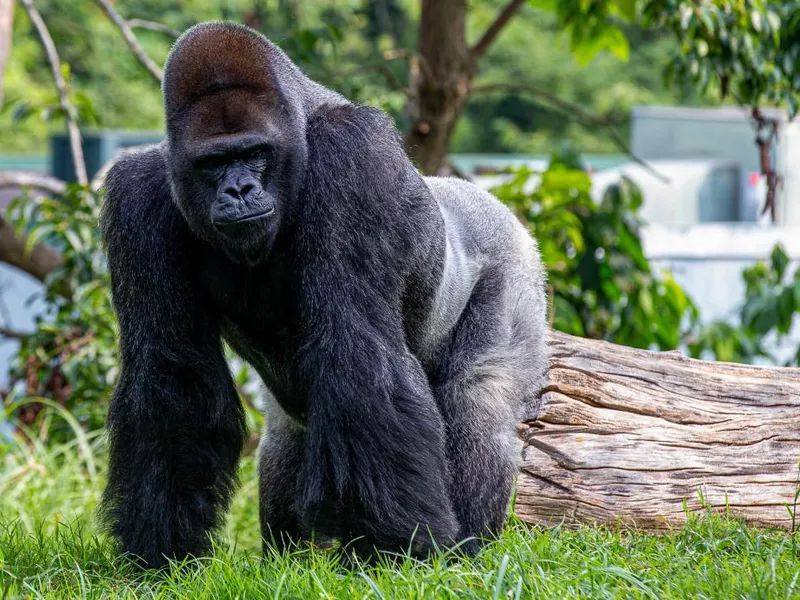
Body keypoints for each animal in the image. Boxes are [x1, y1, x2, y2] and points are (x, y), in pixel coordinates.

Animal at [98, 22, 552, 568]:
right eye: (214, 162)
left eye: (255, 153)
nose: (239, 191)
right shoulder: (137, 194)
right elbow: (172, 374)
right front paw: (164, 551)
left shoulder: (353, 151)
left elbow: (357, 346)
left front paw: (400, 551)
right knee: (286, 436)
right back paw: (292, 557)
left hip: (516, 264)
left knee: (478, 399)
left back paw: (466, 550)